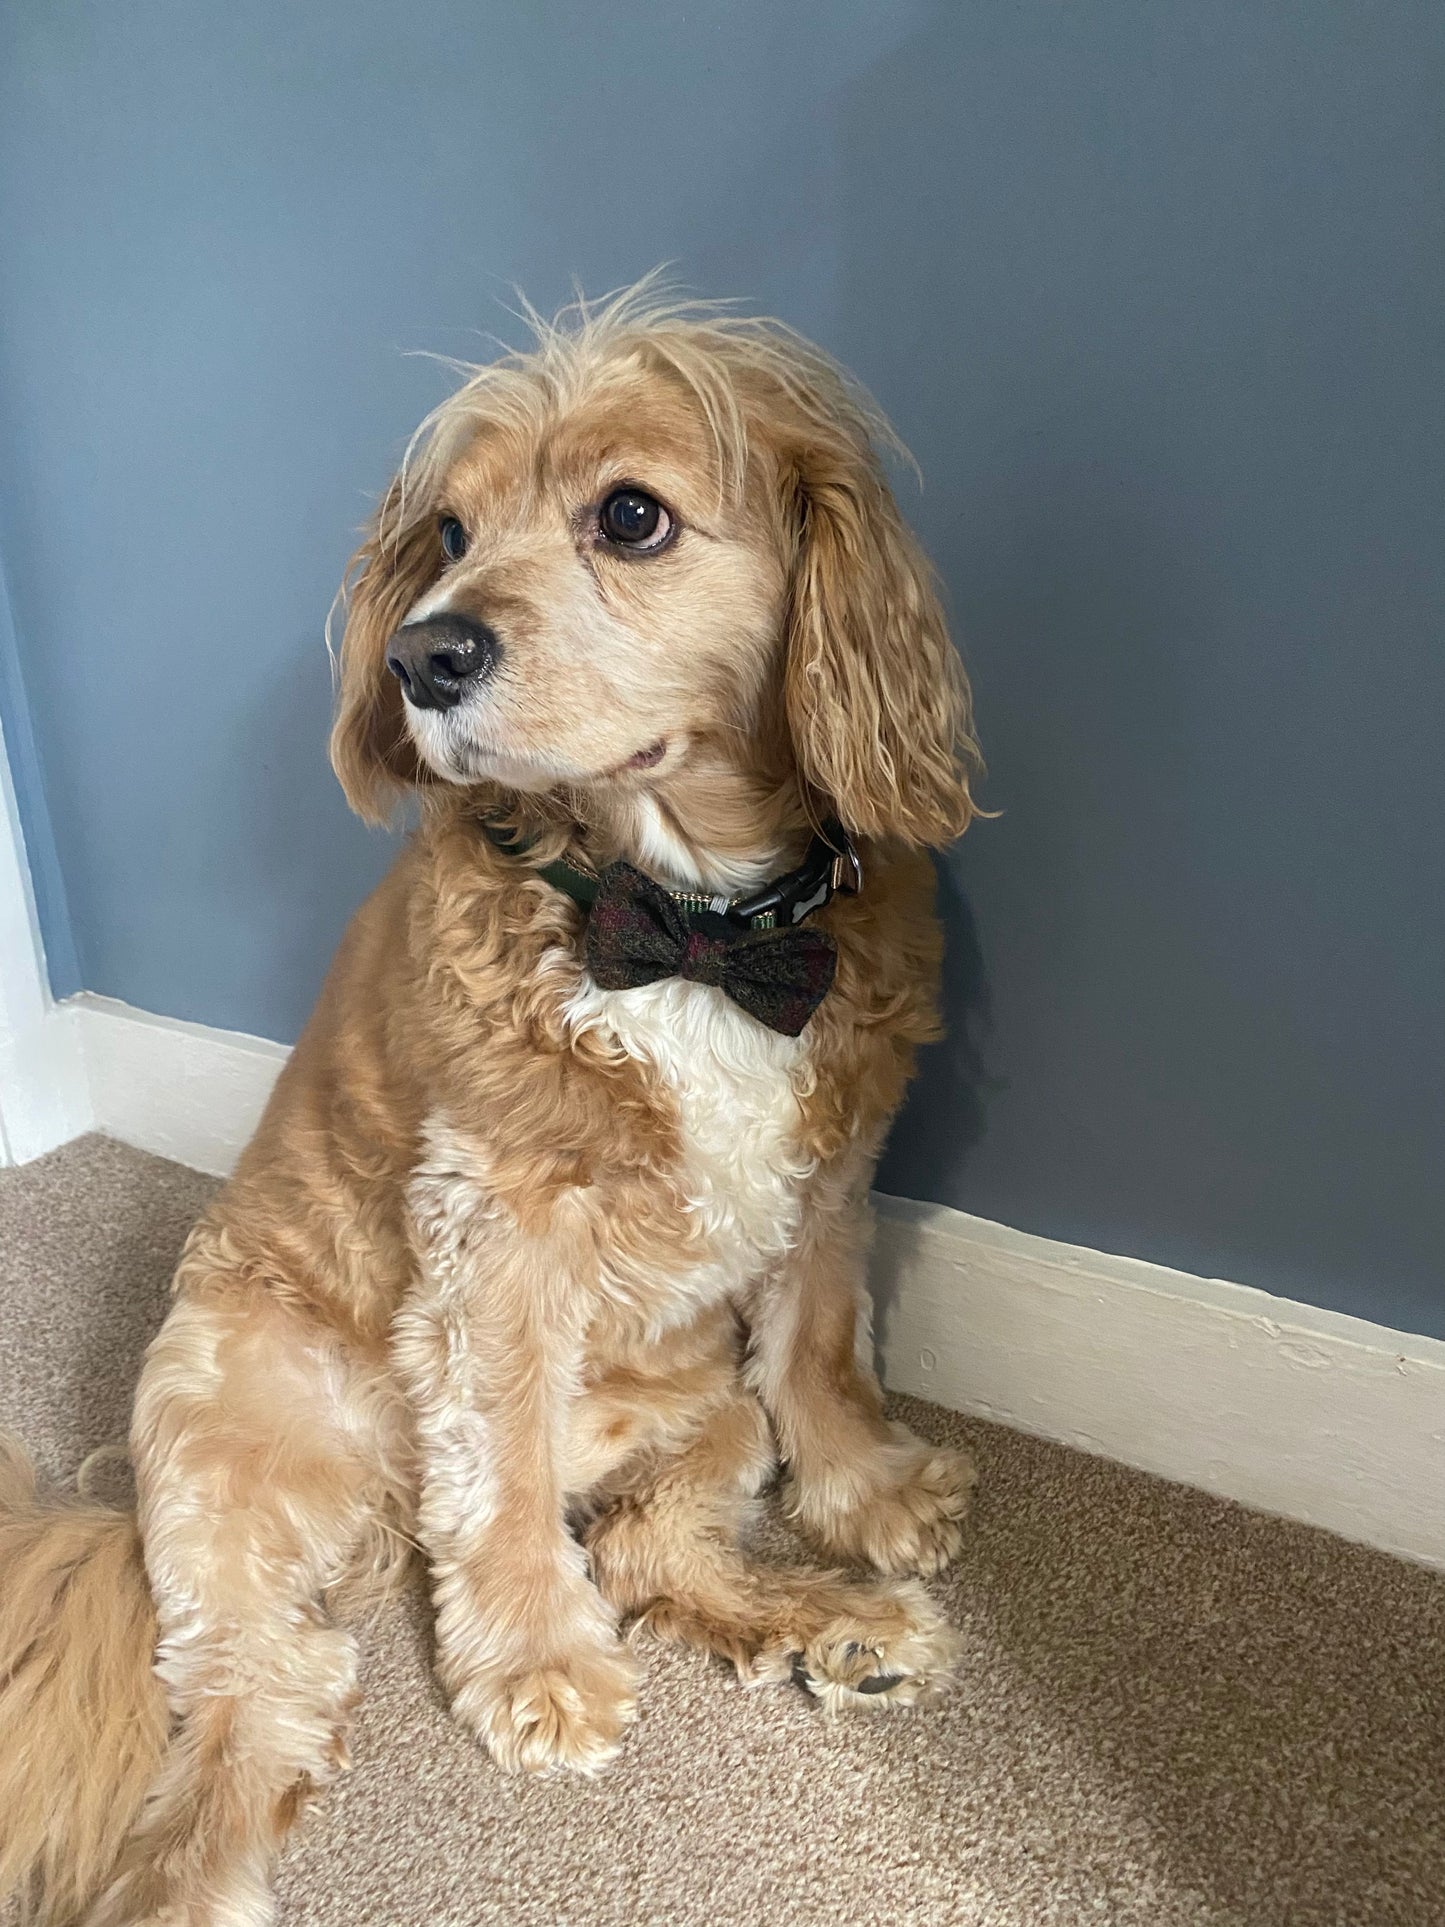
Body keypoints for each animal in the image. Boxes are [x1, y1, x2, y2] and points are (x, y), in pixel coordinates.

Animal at [0, 285, 986, 1927]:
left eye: (632, 515)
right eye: (450, 531)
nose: (423, 655)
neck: (686, 923)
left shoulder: (832, 1166)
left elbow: (821, 1345)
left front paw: (863, 1489)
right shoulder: (495, 1232)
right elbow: (505, 1464)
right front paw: (532, 1660)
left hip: (701, 1416)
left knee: (648, 1544)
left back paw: (836, 1624)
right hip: (225, 1444)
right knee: (257, 1708)